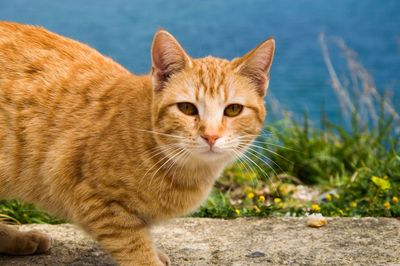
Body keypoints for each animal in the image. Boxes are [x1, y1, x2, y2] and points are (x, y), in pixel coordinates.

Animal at [0, 21, 274, 264]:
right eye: (186, 108)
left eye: (233, 110)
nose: (211, 136)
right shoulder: (97, 201)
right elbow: (134, 247)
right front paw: (149, 257)